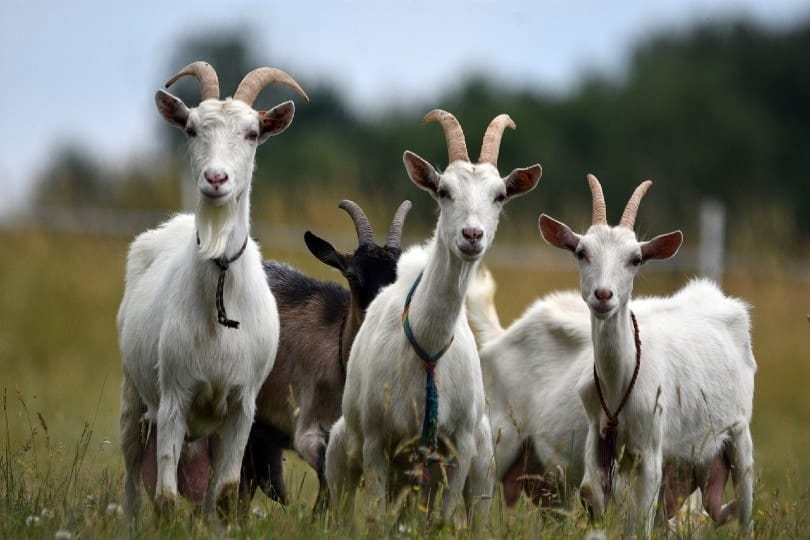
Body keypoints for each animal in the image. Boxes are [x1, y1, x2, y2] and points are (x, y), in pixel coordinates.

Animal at [117, 61, 308, 519]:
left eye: (253, 132)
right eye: (190, 129)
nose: (215, 178)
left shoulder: (242, 406)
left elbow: (223, 495)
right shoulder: (175, 396)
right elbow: (167, 497)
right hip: (134, 395)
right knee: (132, 478)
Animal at [325, 110, 542, 526]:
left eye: (499, 195)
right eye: (444, 190)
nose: (472, 235)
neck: (427, 350)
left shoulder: (458, 449)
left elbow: (439, 518)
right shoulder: (377, 443)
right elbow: (377, 517)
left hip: (479, 464)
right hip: (347, 451)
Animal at [539, 174, 755, 535]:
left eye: (636, 258)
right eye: (581, 252)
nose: (603, 295)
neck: (619, 382)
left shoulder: (651, 444)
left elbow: (639, 518)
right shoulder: (598, 435)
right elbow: (591, 490)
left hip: (739, 430)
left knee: (745, 506)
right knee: (711, 507)